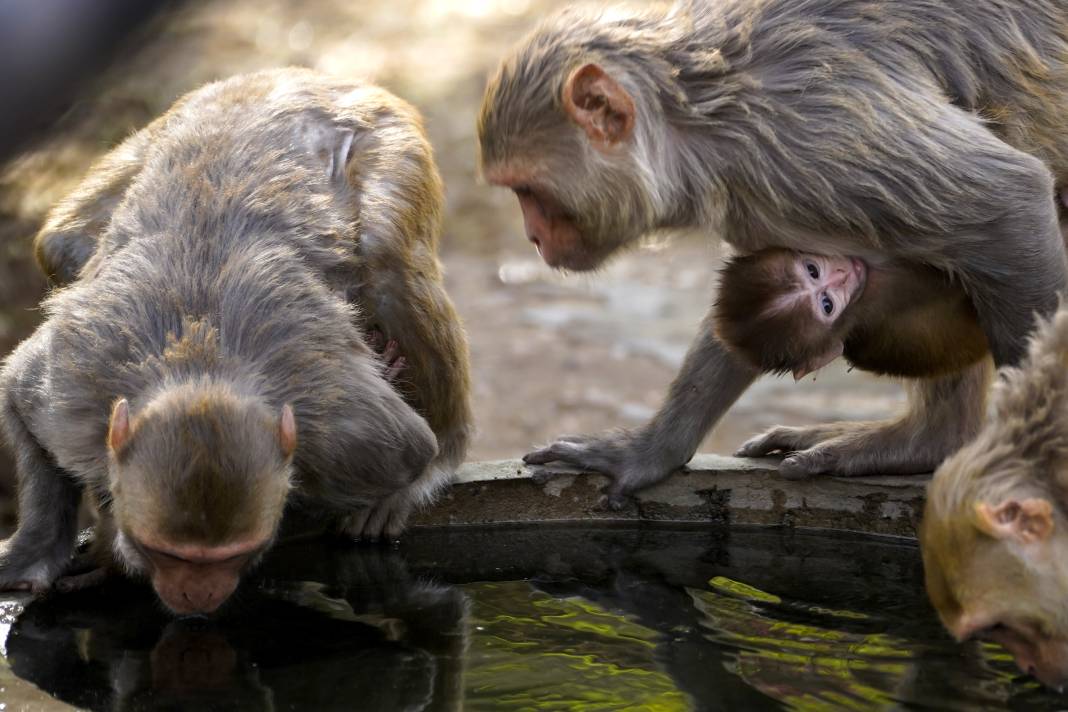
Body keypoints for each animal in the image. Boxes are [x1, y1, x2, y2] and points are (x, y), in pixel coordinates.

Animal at [1, 68, 472, 619]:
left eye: (230, 556)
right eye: (170, 554)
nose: (196, 596)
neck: (199, 362)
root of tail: (309, 78)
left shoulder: (355, 441)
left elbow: (410, 449)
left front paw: (110, 551)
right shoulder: (69, 395)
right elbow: (19, 393)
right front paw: (42, 547)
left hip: (389, 138)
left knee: (387, 258)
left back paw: (442, 456)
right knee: (60, 242)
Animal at [480, 0, 1068, 501]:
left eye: (528, 191)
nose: (533, 236)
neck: (705, 126)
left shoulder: (816, 142)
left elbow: (1008, 203)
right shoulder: (760, 200)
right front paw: (653, 451)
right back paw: (929, 440)